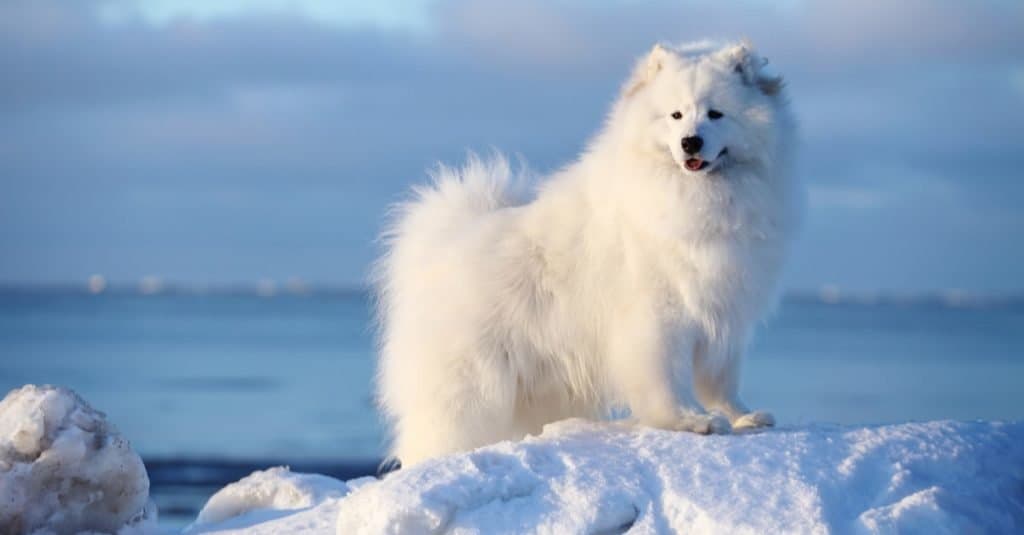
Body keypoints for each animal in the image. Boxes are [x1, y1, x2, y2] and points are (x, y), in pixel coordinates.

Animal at [376, 40, 798, 467]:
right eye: (676, 115)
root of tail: (446, 238)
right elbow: (666, 378)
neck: (700, 196)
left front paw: (741, 416)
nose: (690, 142)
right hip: (471, 389)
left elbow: (721, 380)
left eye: (716, 113)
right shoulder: (660, 317)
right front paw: (690, 420)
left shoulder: (725, 313)